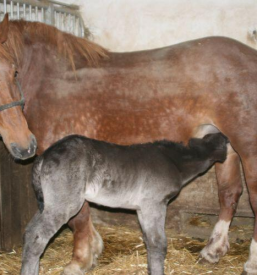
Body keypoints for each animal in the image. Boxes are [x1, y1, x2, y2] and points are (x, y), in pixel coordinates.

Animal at [21, 133, 226, 274]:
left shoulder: (143, 209)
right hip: (64, 204)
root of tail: (44, 156)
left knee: (30, 231)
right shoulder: (155, 204)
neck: (174, 162)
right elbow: (159, 243)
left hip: (51, 203)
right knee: (38, 236)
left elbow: (149, 241)